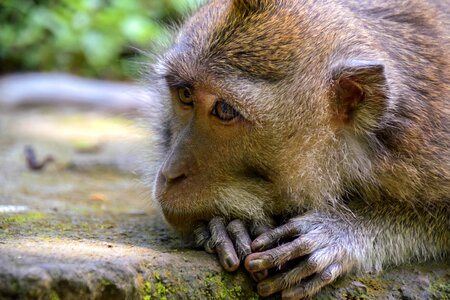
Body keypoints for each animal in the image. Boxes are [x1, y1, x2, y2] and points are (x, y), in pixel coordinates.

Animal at [142, 0, 448, 298]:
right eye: (185, 94)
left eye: (225, 110)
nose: (170, 174)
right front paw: (228, 223)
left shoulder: (426, 146)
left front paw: (342, 229)